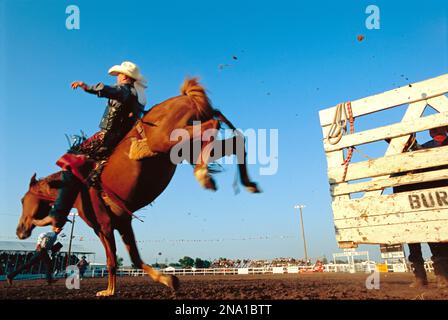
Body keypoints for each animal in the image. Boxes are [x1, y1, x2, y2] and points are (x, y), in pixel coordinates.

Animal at [14, 78, 260, 298]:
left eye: (23, 200)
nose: (20, 230)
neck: (80, 189)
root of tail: (185, 97)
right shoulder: (123, 221)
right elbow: (134, 257)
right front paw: (168, 279)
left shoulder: (103, 226)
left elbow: (112, 260)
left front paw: (109, 290)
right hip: (184, 147)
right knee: (236, 141)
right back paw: (243, 182)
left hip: (170, 140)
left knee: (216, 126)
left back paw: (204, 174)